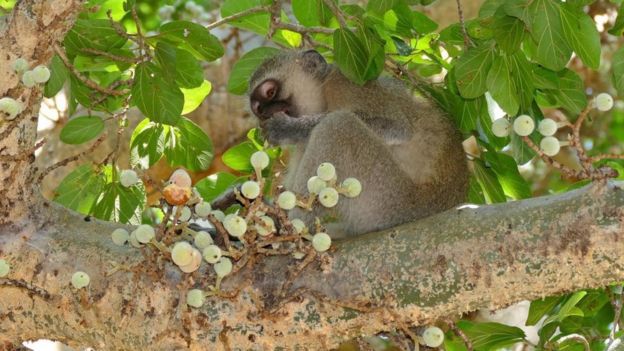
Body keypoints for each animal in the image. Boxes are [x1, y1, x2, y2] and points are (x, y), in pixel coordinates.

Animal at [249, 50, 468, 239]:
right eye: (259, 109)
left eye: (270, 92)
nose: (265, 114)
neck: (324, 94)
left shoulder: (349, 84)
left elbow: (399, 129)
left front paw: (288, 128)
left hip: (391, 201)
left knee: (339, 125)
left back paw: (293, 231)